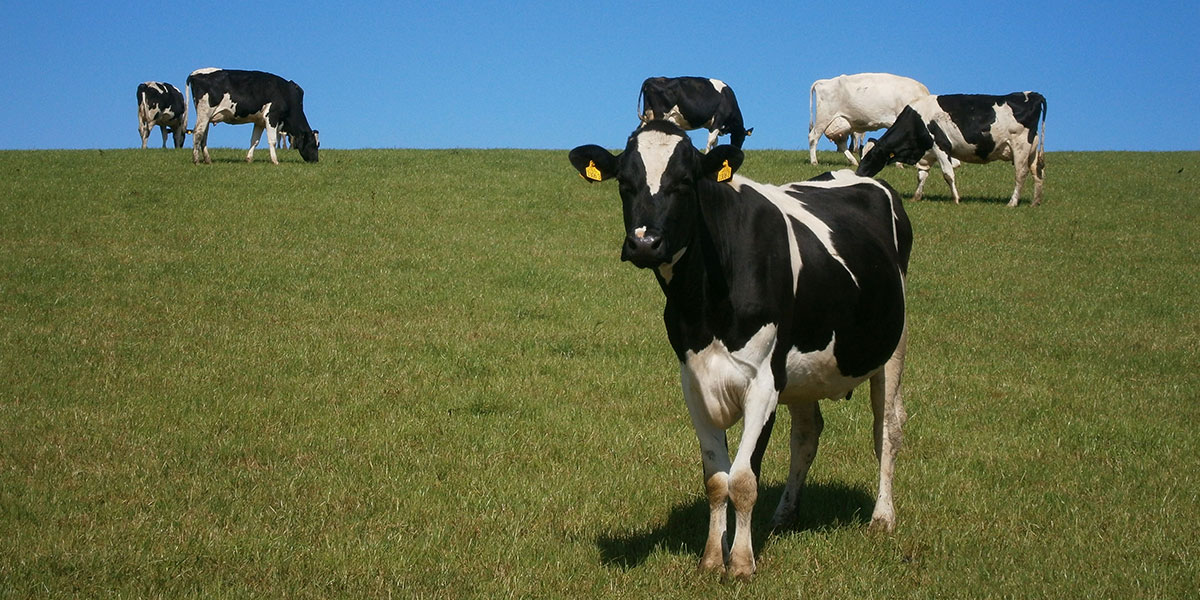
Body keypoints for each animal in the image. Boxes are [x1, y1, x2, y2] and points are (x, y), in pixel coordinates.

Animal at [183, 68, 319, 164]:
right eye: (313, 144)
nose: (315, 161)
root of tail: (194, 74)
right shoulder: (272, 116)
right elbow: (272, 141)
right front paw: (275, 161)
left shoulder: (259, 121)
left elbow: (255, 140)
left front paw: (249, 159)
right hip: (204, 112)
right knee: (198, 132)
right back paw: (196, 160)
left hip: (206, 116)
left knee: (203, 135)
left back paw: (208, 160)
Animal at [568, 119, 907, 578]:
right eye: (624, 182)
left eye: (685, 182)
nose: (643, 243)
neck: (704, 302)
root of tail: (861, 176)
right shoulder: (694, 380)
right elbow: (716, 480)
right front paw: (713, 558)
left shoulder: (763, 381)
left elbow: (743, 479)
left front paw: (742, 563)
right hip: (801, 370)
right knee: (806, 435)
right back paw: (784, 515)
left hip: (891, 350)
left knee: (886, 429)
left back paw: (882, 517)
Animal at [859, 91, 1046, 206]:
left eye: (870, 157)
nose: (858, 174)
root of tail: (1033, 95)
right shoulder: (927, 154)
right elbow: (921, 176)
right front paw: (916, 197)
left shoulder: (941, 146)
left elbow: (948, 174)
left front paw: (956, 199)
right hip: (1032, 150)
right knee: (1037, 172)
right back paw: (1035, 202)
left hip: (1020, 147)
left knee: (1021, 174)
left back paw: (1012, 203)